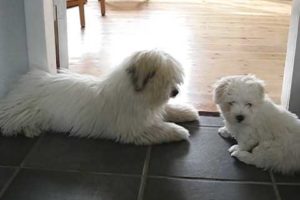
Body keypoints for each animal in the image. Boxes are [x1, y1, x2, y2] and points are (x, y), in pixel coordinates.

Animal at [0, 49, 199, 145]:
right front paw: (180, 131)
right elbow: (160, 129)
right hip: (23, 112)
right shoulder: (134, 129)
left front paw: (188, 111)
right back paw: (30, 130)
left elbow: (169, 109)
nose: (175, 92)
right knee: (8, 124)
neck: (134, 93)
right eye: (161, 78)